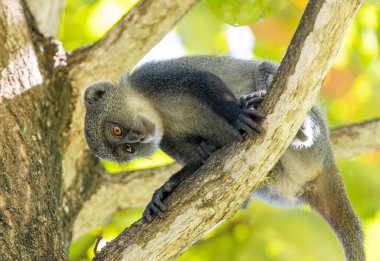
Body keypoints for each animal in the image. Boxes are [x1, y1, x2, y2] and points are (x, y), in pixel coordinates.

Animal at [84, 55, 366, 260]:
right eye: (127, 149)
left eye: (116, 130)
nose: (137, 139)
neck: (158, 111)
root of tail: (325, 164)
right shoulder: (165, 139)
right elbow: (195, 163)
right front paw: (163, 192)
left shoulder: (153, 77)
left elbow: (205, 82)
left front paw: (237, 115)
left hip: (316, 143)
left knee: (265, 68)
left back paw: (301, 129)